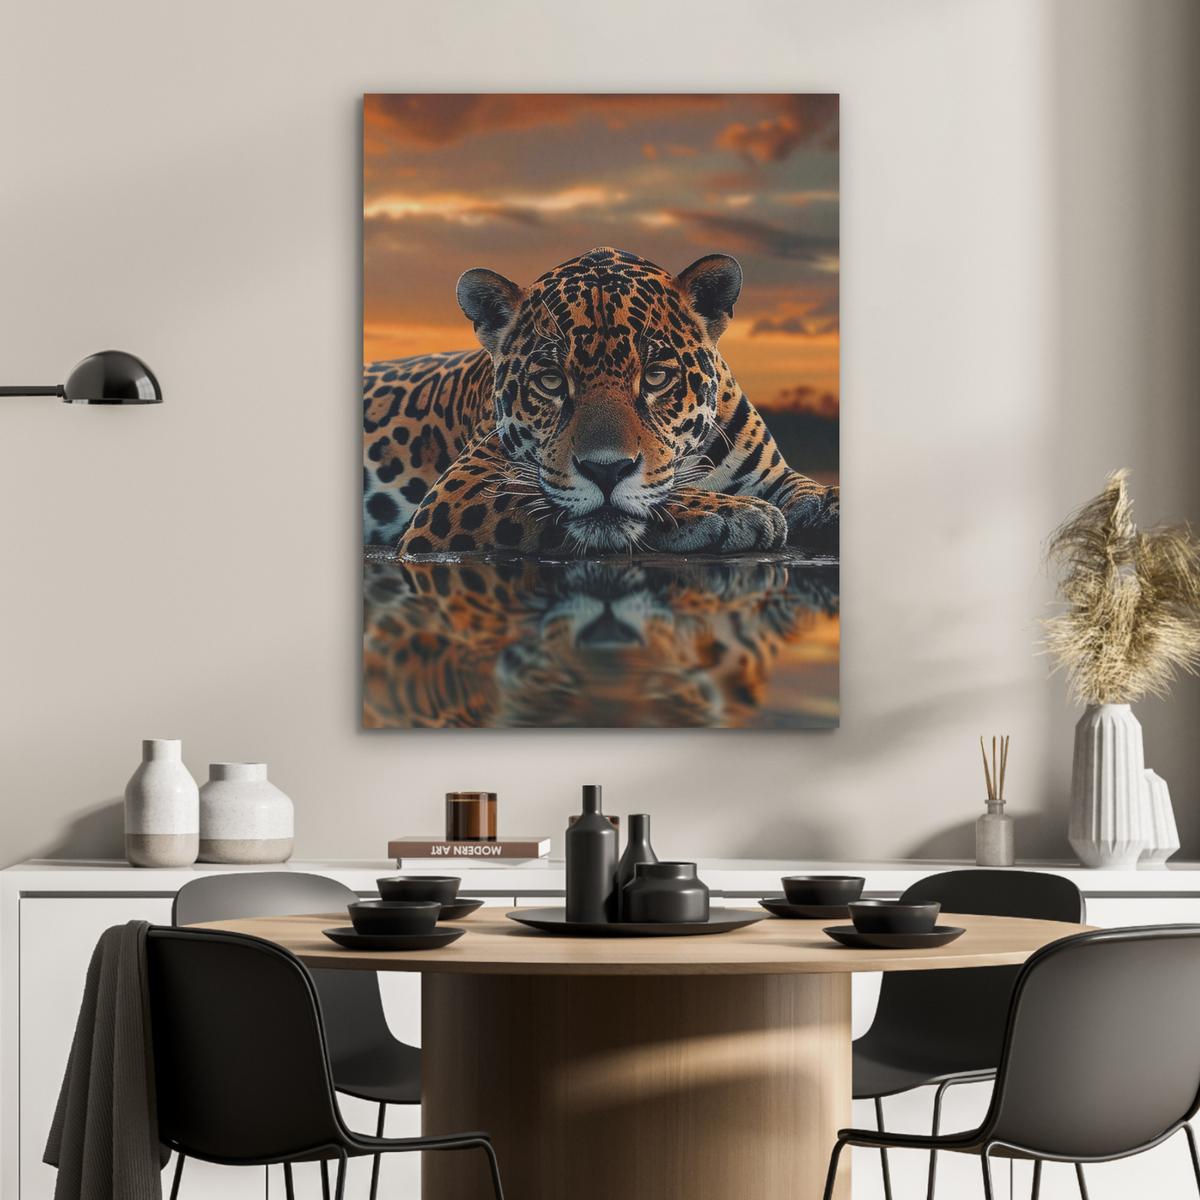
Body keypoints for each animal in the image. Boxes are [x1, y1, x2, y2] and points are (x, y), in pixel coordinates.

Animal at [363, 246, 838, 557]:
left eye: (656, 376)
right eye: (552, 381)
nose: (605, 471)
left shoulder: (773, 474)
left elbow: (803, 486)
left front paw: (828, 505)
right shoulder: (460, 489)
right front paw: (736, 511)